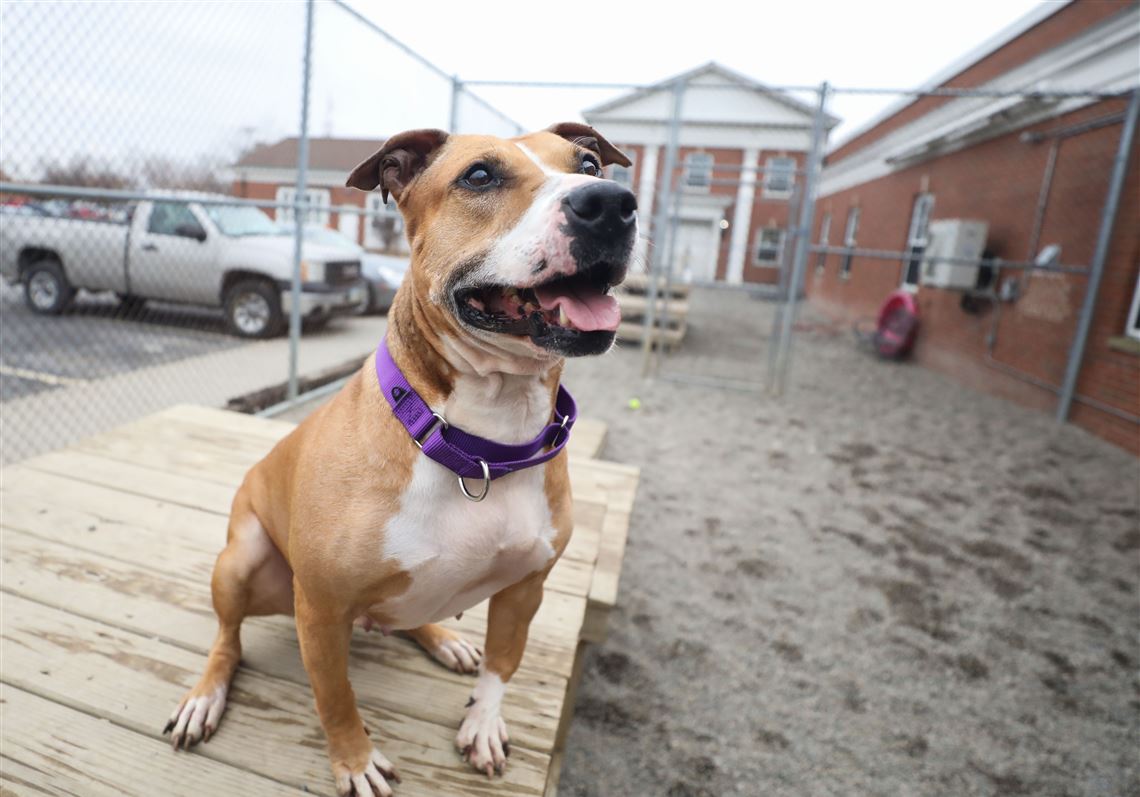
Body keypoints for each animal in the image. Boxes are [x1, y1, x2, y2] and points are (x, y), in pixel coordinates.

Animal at [165, 124, 638, 797]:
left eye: (592, 164)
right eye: (480, 176)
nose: (609, 204)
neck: (477, 445)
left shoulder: (526, 588)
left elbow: (503, 664)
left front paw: (484, 724)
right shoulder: (321, 609)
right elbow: (335, 696)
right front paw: (356, 761)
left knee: (409, 613)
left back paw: (442, 638)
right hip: (241, 560)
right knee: (226, 639)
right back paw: (206, 696)